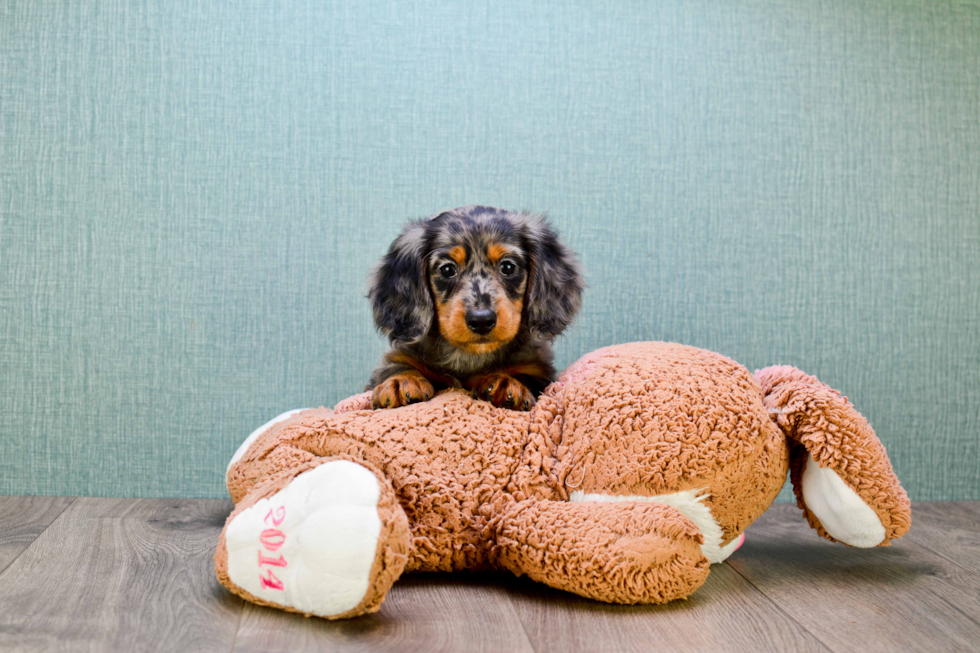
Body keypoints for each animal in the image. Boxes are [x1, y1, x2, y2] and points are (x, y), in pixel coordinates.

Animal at [368, 205, 580, 408]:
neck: (470, 357)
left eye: (508, 267)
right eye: (447, 269)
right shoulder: (400, 356)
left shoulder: (537, 367)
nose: (481, 320)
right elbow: (397, 367)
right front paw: (401, 381)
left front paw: (505, 381)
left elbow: (525, 375)